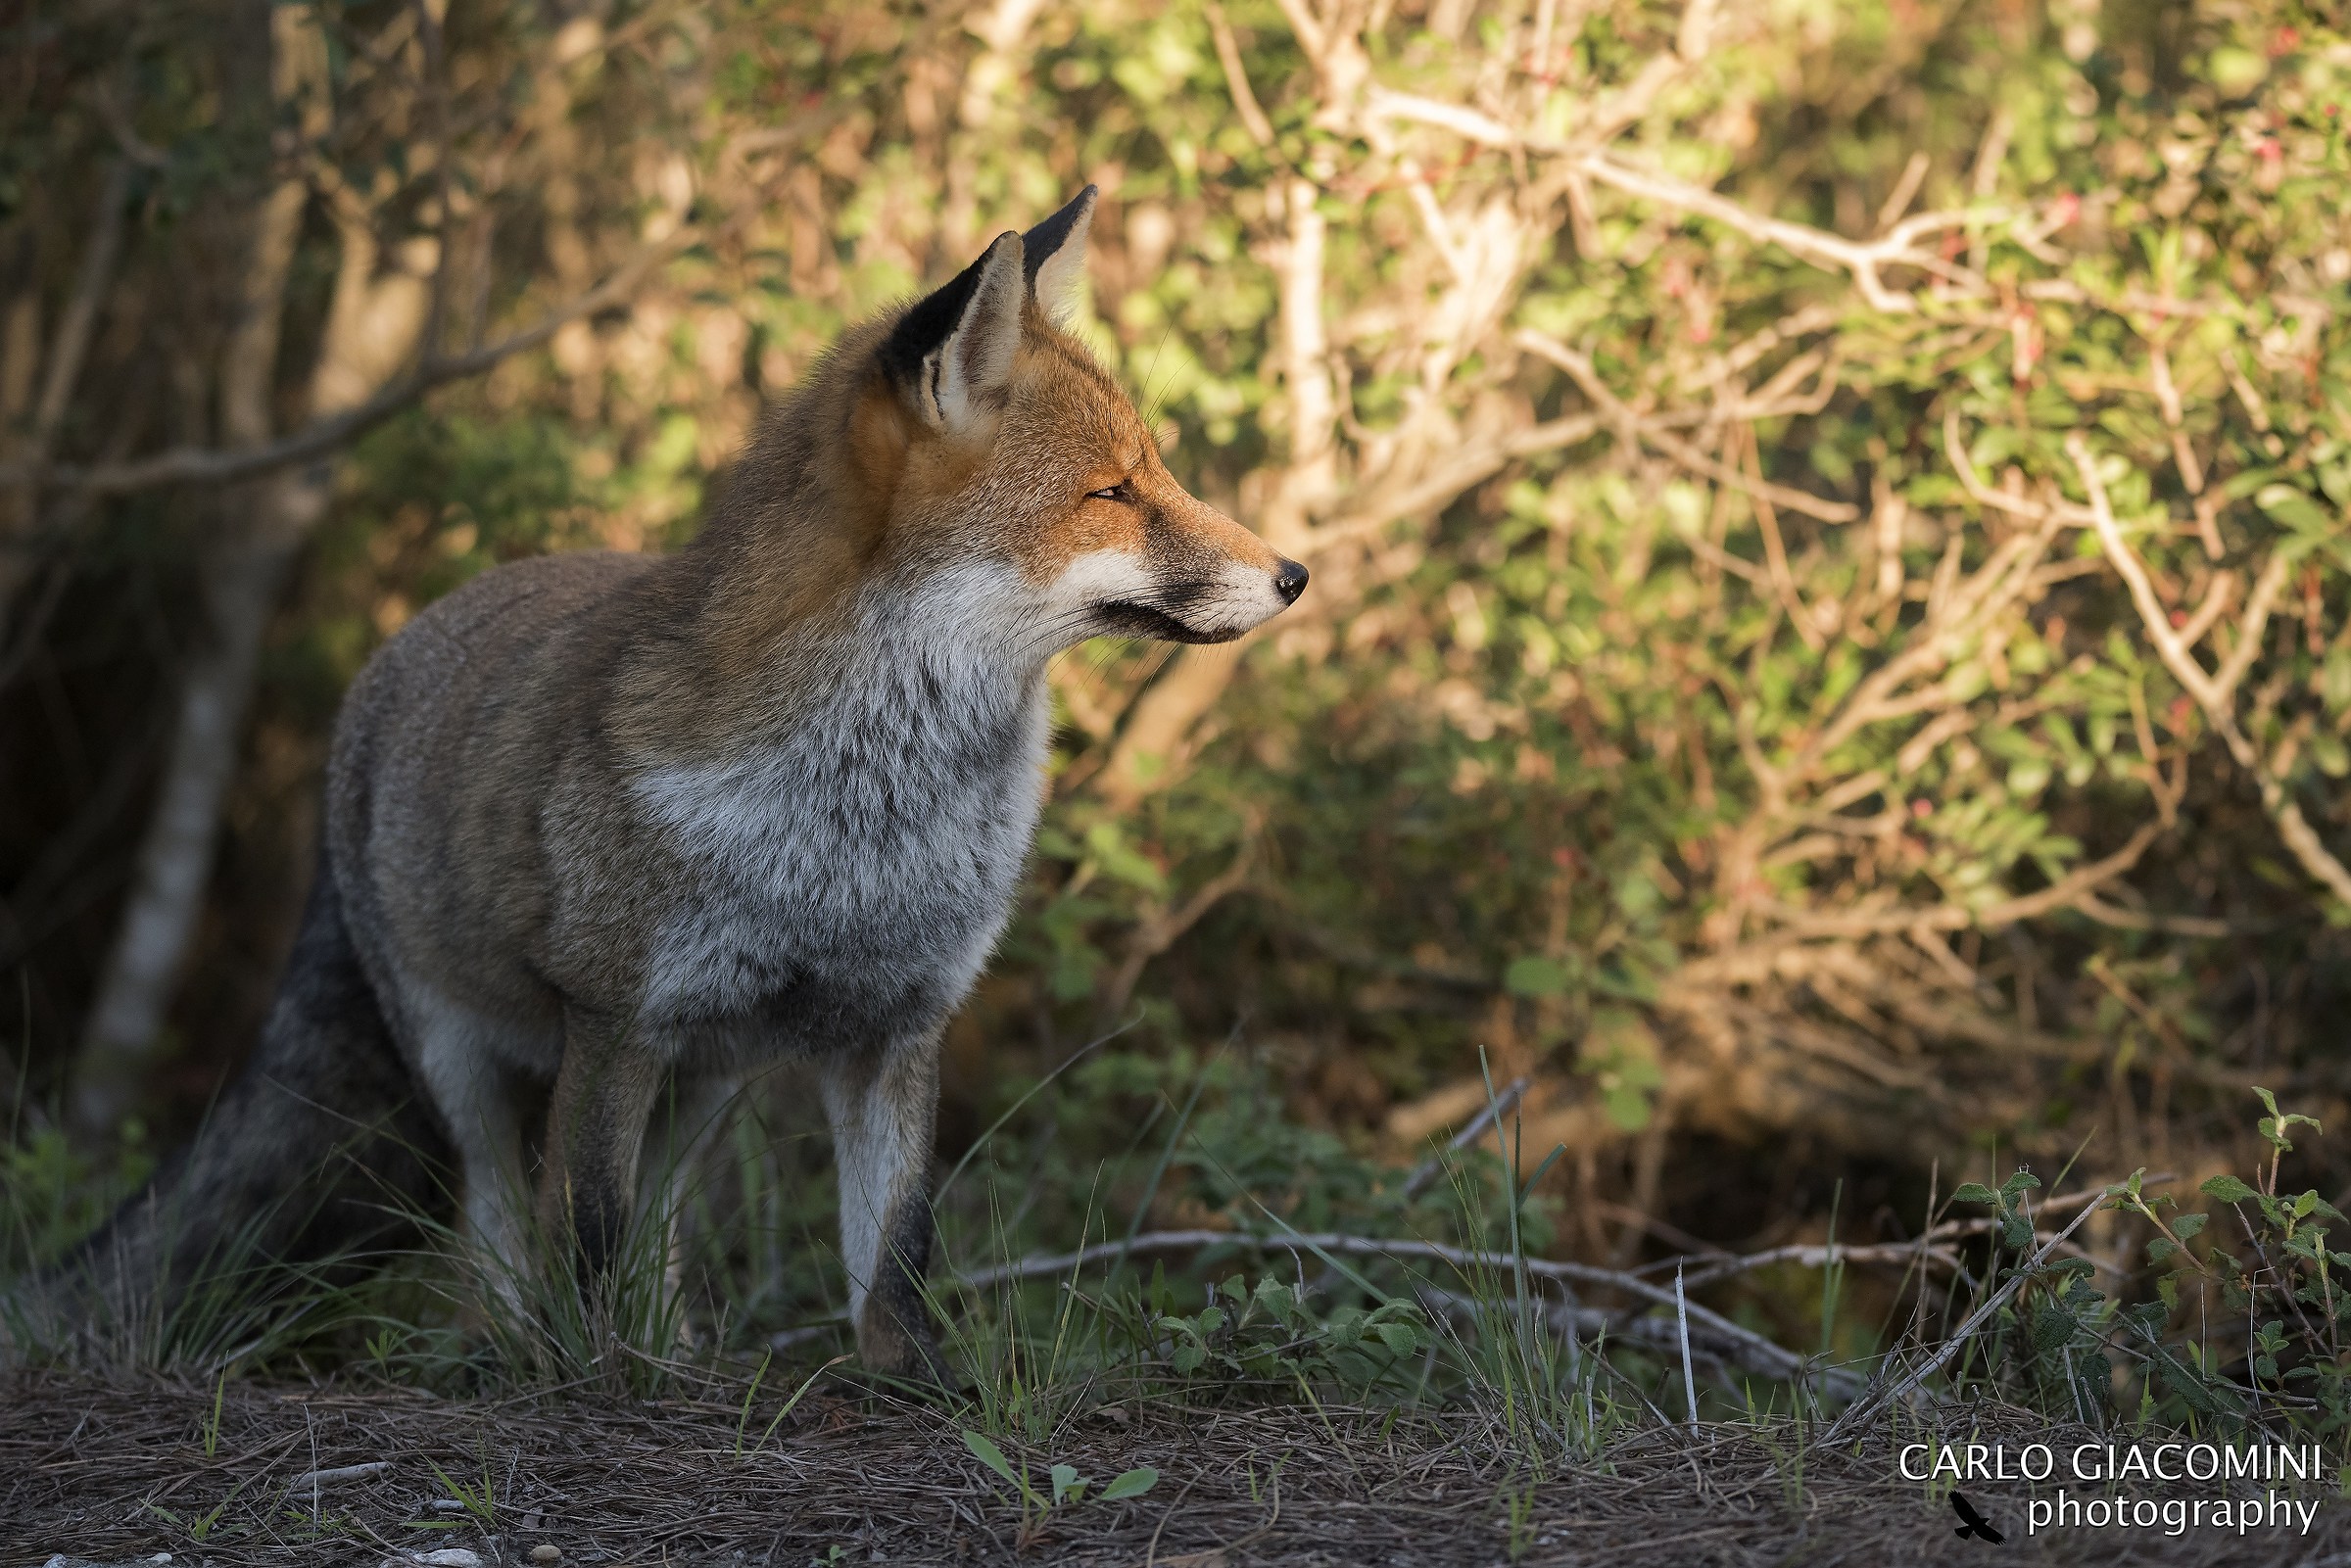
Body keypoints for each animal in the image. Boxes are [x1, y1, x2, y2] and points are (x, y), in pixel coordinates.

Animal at [58, 187, 1305, 1377]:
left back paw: (683, 1358)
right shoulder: (613, 1019)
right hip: (472, 1064)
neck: (864, 821)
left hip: (710, 1078)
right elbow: (588, 1235)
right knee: (497, 1231)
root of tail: (404, 641)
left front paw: (920, 1383)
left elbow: (894, 1247)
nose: (1295, 573)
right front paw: (593, 1378)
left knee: (659, 1231)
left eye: (1158, 473)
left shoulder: (897, 1021)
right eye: (1113, 492)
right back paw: (508, 1353)